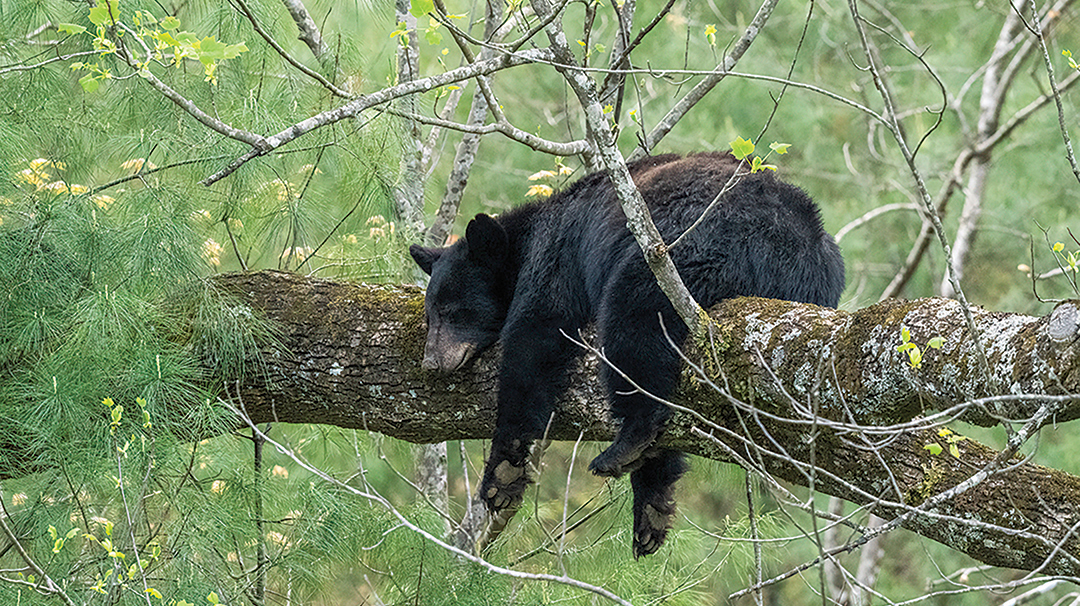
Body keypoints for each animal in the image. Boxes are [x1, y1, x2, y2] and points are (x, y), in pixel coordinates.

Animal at [409, 151, 844, 557]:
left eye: (453, 311)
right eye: (430, 314)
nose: (431, 363)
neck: (526, 237)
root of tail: (791, 237)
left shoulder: (556, 255)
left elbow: (536, 335)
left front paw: (501, 472)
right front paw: (653, 507)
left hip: (680, 253)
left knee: (632, 325)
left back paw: (623, 445)